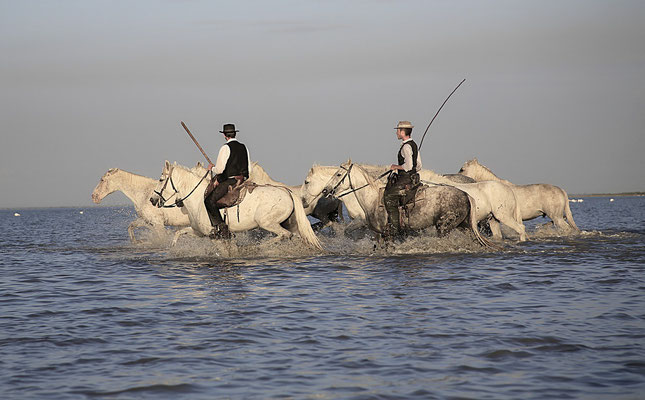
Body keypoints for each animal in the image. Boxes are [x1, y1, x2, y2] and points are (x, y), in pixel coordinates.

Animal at [150, 160, 322, 250]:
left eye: (161, 179)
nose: (152, 199)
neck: (198, 199)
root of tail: (287, 191)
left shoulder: (216, 237)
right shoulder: (200, 232)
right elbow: (179, 233)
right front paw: (173, 247)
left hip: (267, 223)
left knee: (285, 235)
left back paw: (257, 248)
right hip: (290, 223)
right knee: (298, 237)